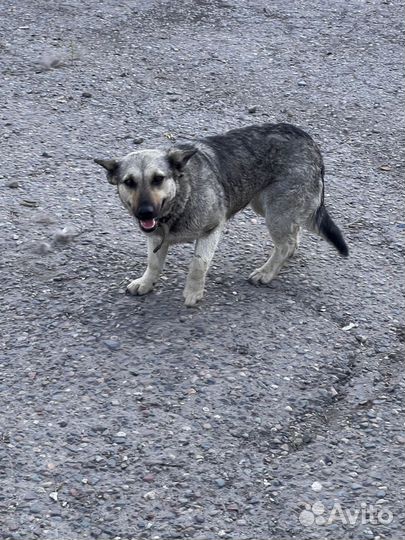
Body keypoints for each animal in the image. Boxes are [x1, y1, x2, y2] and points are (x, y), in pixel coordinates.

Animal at [94, 124, 348, 306]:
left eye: (158, 179)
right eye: (129, 182)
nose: (144, 212)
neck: (182, 195)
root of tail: (309, 141)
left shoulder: (211, 230)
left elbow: (198, 265)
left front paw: (193, 292)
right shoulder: (156, 237)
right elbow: (153, 263)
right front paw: (146, 283)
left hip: (276, 213)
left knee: (285, 244)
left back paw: (266, 272)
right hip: (267, 206)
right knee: (293, 236)